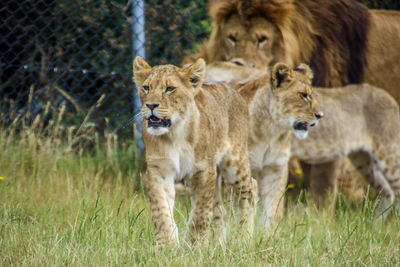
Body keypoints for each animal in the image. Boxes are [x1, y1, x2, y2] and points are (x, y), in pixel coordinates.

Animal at [185, 0, 400, 207]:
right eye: (232, 38)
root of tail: (389, 98)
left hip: (387, 152)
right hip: (364, 158)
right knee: (386, 192)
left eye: (262, 39)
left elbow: (318, 196)